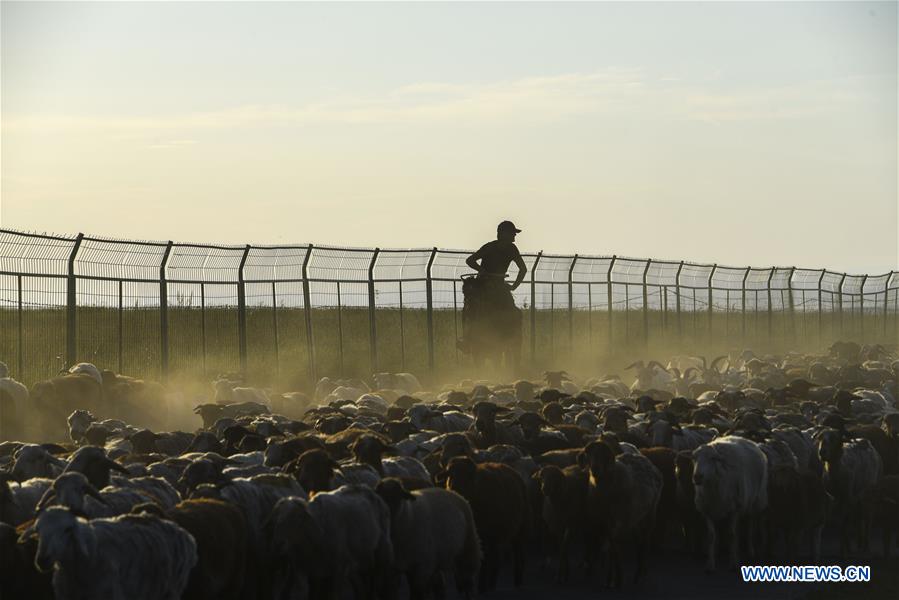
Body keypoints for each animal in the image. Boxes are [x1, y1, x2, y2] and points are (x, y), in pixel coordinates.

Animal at [446, 458, 532, 592]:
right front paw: (460, 586)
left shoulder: (486, 536)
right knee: (497, 559)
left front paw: (481, 587)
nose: (455, 487)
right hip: (498, 535)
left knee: (518, 556)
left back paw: (516, 582)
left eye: (468, 476)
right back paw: (492, 584)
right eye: (450, 474)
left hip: (520, 529)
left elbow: (484, 563)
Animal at [580, 440, 664, 584]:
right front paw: (611, 576)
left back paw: (640, 572)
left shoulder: (615, 522)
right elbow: (609, 548)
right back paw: (639, 571)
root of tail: (645, 460)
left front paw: (615, 578)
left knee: (645, 541)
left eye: (603, 454)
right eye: (588, 454)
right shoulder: (600, 521)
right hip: (634, 516)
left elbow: (614, 549)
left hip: (650, 513)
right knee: (638, 540)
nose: (595, 469)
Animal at [692, 434, 768, 568]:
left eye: (712, 458)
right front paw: (710, 563)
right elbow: (711, 536)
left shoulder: (735, 510)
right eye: (694, 458)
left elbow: (732, 535)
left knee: (751, 526)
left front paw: (733, 562)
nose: (697, 477)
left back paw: (751, 551)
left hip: (756, 501)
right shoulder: (707, 510)